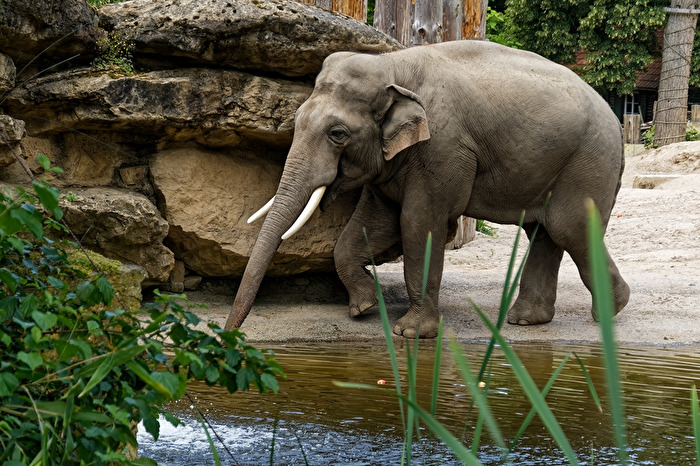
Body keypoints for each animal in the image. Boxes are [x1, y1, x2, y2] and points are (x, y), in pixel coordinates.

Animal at [225, 39, 630, 338]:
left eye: (337, 134)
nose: (229, 334)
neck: (391, 65)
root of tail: (616, 118)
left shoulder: (443, 148)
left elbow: (418, 222)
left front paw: (409, 334)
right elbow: (373, 223)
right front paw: (363, 308)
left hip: (590, 160)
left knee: (569, 228)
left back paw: (612, 310)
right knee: (543, 231)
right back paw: (526, 320)